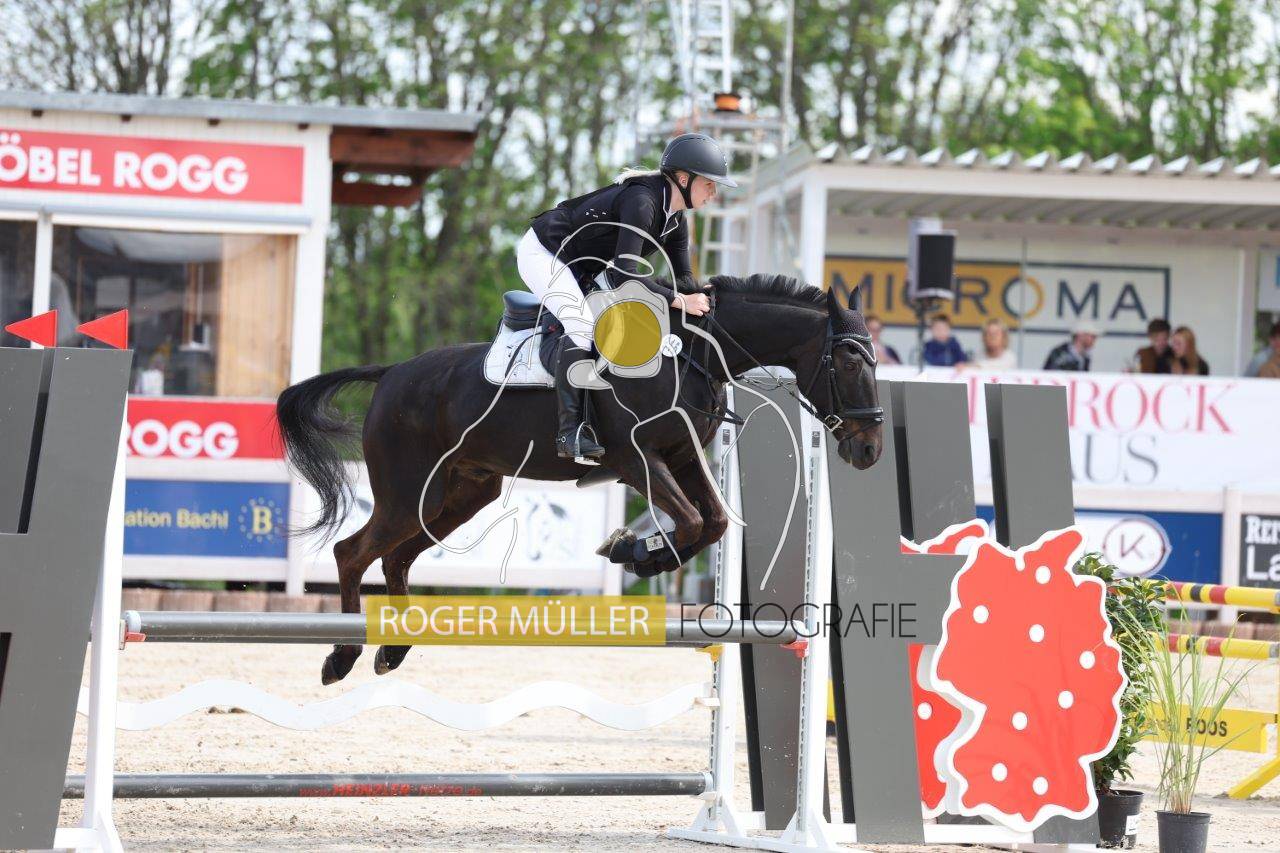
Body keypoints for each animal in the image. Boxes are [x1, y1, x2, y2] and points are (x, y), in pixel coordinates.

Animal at [276, 273, 884, 685]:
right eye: (851, 363)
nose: (869, 450)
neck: (691, 355)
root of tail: (392, 374)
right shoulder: (636, 460)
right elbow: (691, 520)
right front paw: (633, 553)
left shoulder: (682, 457)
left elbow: (710, 523)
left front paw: (634, 553)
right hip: (408, 494)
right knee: (354, 553)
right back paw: (343, 656)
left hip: (462, 493)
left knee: (396, 559)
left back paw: (392, 651)